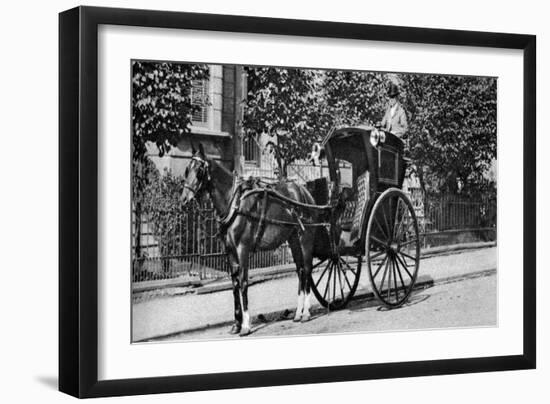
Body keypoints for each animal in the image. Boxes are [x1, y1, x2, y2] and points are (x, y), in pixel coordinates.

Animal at [182, 144, 320, 336]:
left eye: (199, 170)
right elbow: (234, 283)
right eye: (187, 169)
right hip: (293, 239)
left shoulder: (243, 248)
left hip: (305, 237)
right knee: (300, 270)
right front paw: (236, 324)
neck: (234, 203)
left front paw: (246, 325)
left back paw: (306, 312)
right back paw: (298, 314)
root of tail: (304, 191)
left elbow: (244, 282)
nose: (184, 200)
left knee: (306, 269)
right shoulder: (229, 250)